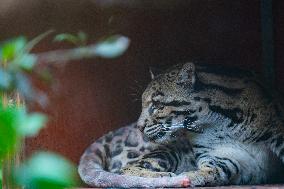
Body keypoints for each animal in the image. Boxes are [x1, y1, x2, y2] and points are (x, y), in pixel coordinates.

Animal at [77, 62, 284, 188]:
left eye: (157, 105)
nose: (140, 127)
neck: (222, 125)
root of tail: (108, 136)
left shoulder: (277, 132)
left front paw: (192, 177)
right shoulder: (220, 154)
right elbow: (209, 170)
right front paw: (189, 177)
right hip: (167, 150)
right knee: (124, 169)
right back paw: (164, 178)